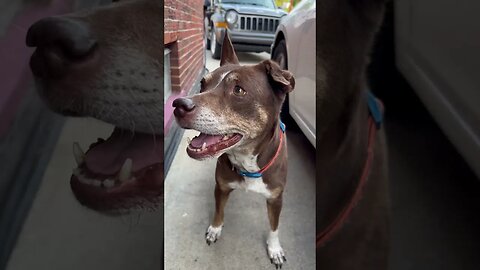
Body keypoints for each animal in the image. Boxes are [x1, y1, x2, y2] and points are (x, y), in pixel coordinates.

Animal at [172, 32, 292, 266]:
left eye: (238, 90)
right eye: (203, 83)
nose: (179, 105)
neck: (247, 161)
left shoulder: (276, 199)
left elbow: (274, 227)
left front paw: (274, 248)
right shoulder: (221, 186)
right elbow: (219, 211)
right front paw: (215, 229)